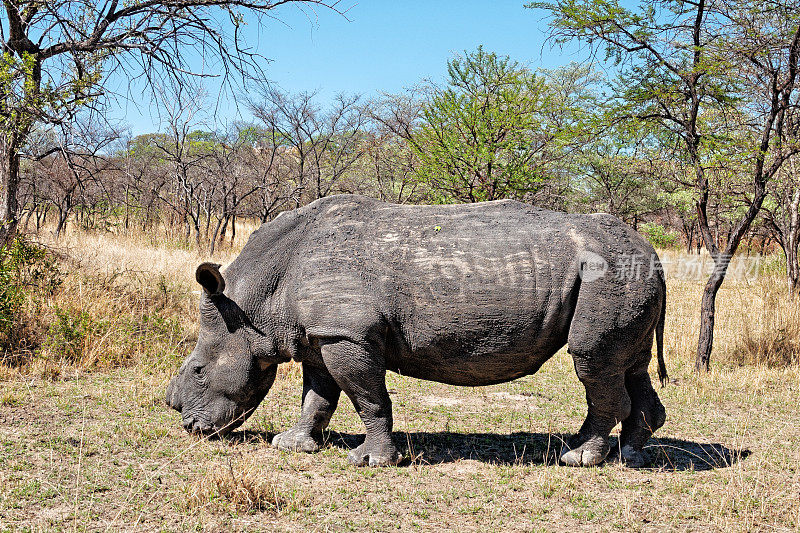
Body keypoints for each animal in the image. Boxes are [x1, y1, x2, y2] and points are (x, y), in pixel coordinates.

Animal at [166, 194, 664, 466]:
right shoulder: (321, 333)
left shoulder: (347, 333)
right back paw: (629, 456)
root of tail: (653, 252)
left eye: (198, 370)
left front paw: (370, 461)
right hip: (626, 274)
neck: (256, 301)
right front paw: (291, 446)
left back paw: (579, 458)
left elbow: (367, 397)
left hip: (607, 273)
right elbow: (317, 397)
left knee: (593, 361)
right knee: (628, 366)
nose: (186, 423)